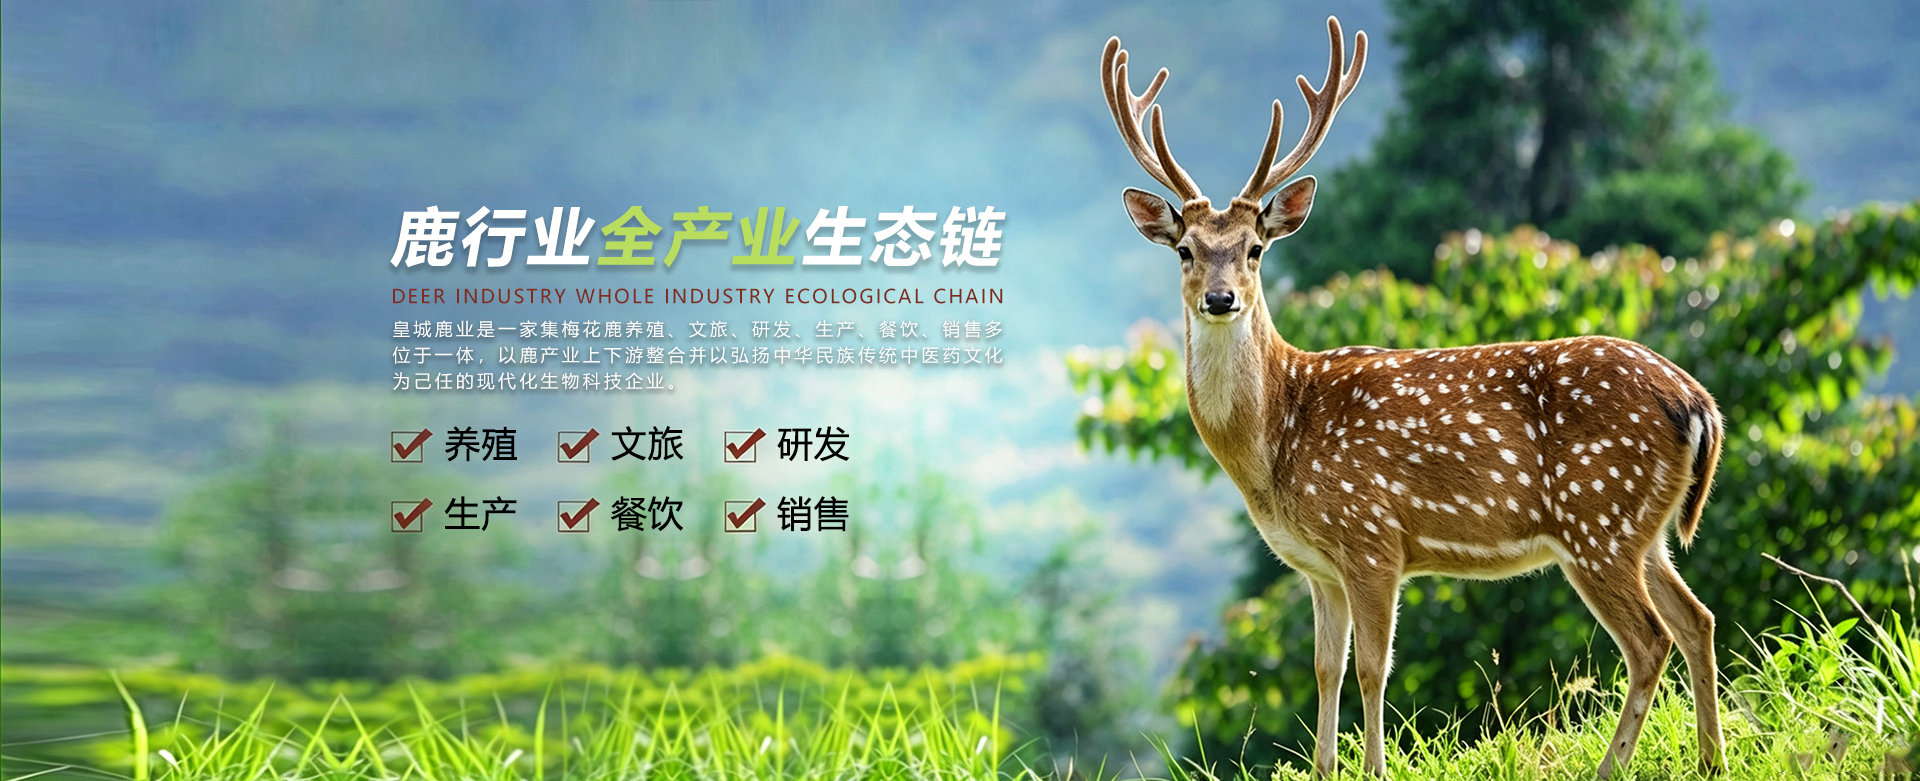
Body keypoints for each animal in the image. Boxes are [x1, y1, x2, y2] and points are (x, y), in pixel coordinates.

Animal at [1101, 18, 1725, 779]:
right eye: (1185, 249)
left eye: (1255, 248)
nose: (1221, 299)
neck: (1278, 442)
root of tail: (1699, 404)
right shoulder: (1319, 567)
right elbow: (1325, 669)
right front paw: (1324, 767)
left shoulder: (1372, 536)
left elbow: (1374, 668)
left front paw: (1373, 767)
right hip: (1643, 528)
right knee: (1697, 619)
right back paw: (1712, 758)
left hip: (1596, 517)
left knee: (1649, 640)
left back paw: (1615, 765)